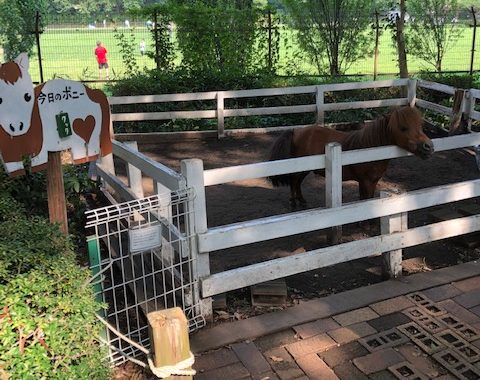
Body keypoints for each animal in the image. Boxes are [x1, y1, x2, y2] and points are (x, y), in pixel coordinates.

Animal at [270, 107, 436, 206]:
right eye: (403, 128)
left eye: (420, 126)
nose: (428, 147)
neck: (368, 150)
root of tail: (296, 131)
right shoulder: (365, 182)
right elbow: (365, 199)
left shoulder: (372, 182)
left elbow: (367, 198)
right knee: (293, 181)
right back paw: (294, 202)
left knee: (297, 182)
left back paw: (301, 200)